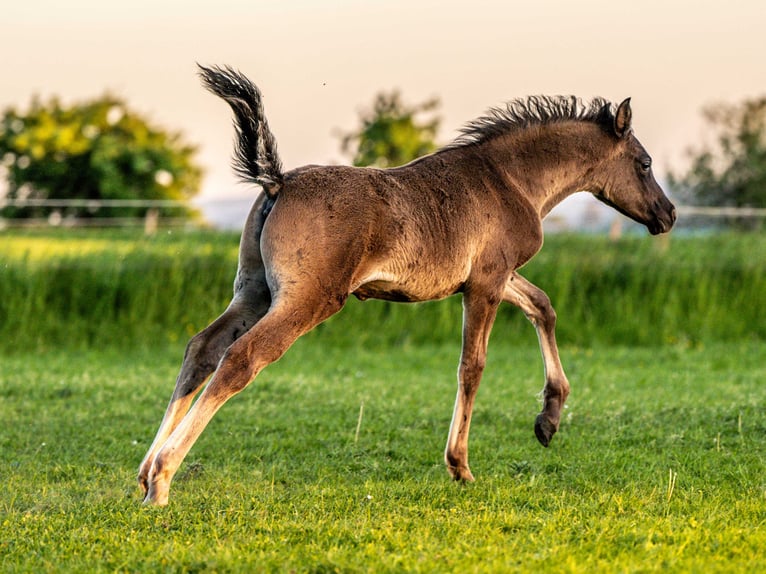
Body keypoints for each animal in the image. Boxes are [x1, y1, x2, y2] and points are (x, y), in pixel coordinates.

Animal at [138, 65, 676, 505]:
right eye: (646, 164)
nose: (668, 215)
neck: (510, 180)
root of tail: (277, 182)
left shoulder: (490, 276)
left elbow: (542, 306)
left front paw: (548, 420)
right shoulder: (486, 282)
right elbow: (472, 366)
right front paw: (460, 465)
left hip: (254, 292)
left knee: (202, 348)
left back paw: (144, 474)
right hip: (308, 299)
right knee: (241, 358)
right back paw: (163, 479)